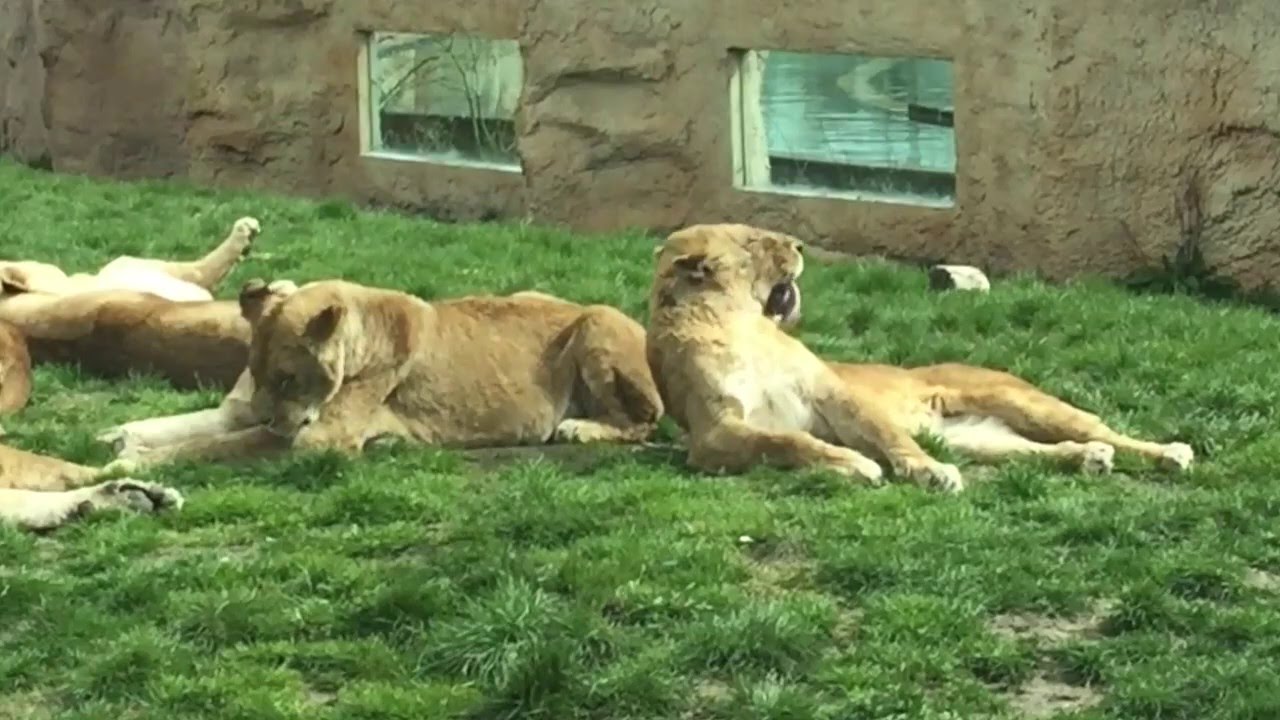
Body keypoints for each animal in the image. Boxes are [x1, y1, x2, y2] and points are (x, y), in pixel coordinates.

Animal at [97, 280, 664, 468]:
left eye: (287, 378)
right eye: (256, 374)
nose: (270, 416)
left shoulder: (318, 440)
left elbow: (212, 446)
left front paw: (132, 463)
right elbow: (191, 427)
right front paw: (121, 438)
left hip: (596, 321)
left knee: (645, 422)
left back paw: (579, 428)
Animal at [646, 223, 1195, 492]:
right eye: (754, 242)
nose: (800, 245)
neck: (739, 322)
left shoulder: (833, 395)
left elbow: (890, 437)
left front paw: (928, 473)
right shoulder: (716, 432)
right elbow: (784, 441)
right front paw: (852, 465)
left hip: (1025, 403)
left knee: (1107, 430)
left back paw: (1169, 453)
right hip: (978, 439)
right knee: (1041, 451)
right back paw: (1088, 460)